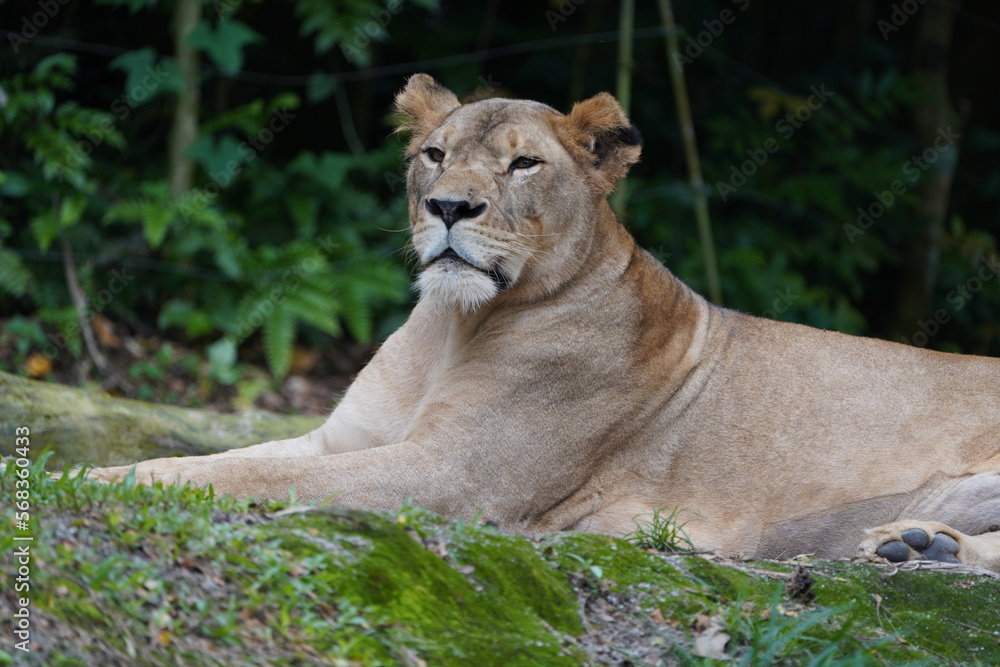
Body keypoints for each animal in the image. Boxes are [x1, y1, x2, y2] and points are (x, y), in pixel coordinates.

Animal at [90, 74, 1000, 571]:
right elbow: (227, 457)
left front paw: (99, 479)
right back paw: (918, 543)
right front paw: (110, 469)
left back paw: (922, 547)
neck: (450, 327)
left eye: (524, 163)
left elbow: (264, 477)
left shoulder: (454, 475)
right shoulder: (342, 437)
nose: (449, 207)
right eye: (434, 154)